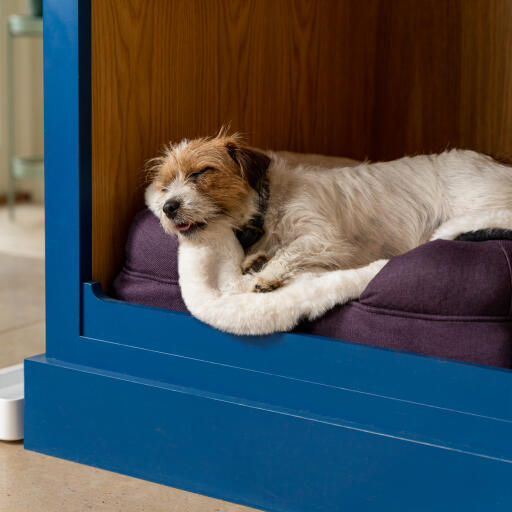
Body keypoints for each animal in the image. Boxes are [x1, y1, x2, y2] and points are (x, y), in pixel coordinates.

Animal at [143, 130, 512, 292]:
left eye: (200, 173)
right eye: (166, 185)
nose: (168, 207)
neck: (268, 203)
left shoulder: (323, 238)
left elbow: (291, 250)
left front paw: (267, 274)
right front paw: (257, 259)